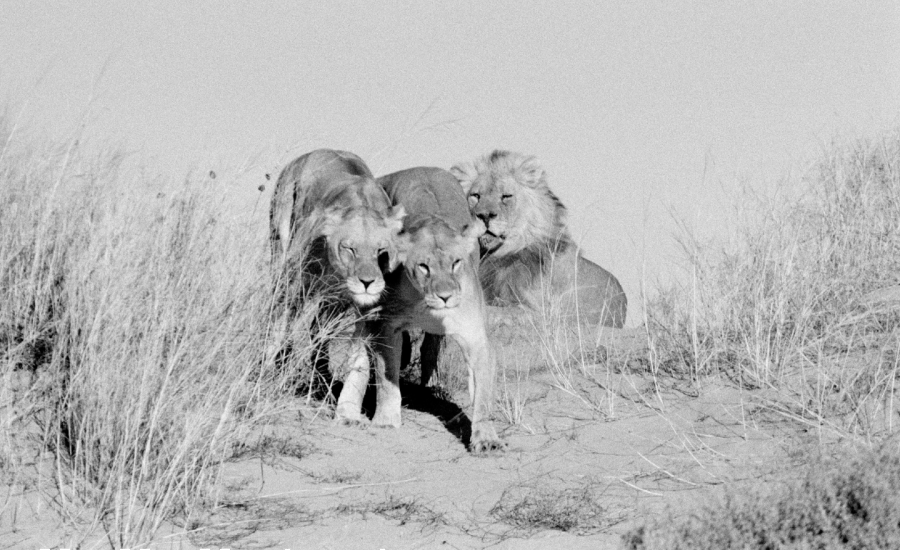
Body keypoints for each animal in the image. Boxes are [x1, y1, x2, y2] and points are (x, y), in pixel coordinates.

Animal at [268, 149, 406, 412]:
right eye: (349, 249)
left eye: (381, 251)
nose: (367, 283)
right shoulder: (304, 284)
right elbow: (293, 328)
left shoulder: (357, 304)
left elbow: (352, 351)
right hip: (281, 246)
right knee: (279, 308)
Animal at [350, 167, 506, 452]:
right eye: (424, 267)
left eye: (456, 263)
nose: (445, 297)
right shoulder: (388, 325)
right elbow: (387, 377)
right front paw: (386, 420)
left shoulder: (475, 336)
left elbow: (483, 394)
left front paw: (486, 438)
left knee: (430, 347)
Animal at [450, 149, 624, 332]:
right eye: (475, 196)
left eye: (506, 196)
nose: (484, 215)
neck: (495, 255)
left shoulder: (540, 314)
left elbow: (491, 313)